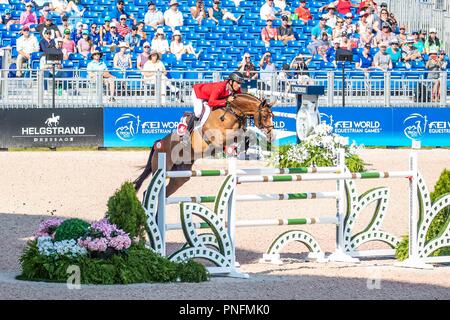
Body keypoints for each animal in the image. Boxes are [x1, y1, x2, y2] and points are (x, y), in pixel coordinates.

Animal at [133, 92, 274, 196]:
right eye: (265, 116)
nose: (271, 135)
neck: (232, 112)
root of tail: (158, 144)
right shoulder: (218, 137)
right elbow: (233, 137)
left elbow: (246, 135)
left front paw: (244, 147)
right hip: (163, 168)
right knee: (148, 192)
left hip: (180, 176)